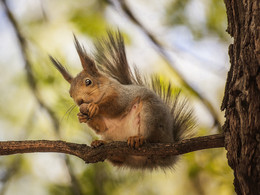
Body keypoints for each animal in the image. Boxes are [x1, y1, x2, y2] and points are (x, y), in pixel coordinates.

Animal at [49, 30, 195, 169]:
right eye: (70, 94)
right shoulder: (104, 124)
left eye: (88, 82)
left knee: (150, 136)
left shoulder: (121, 95)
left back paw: (138, 138)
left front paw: (96, 108)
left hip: (151, 114)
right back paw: (102, 143)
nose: (79, 102)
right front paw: (82, 117)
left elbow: (116, 106)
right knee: (118, 157)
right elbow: (101, 127)